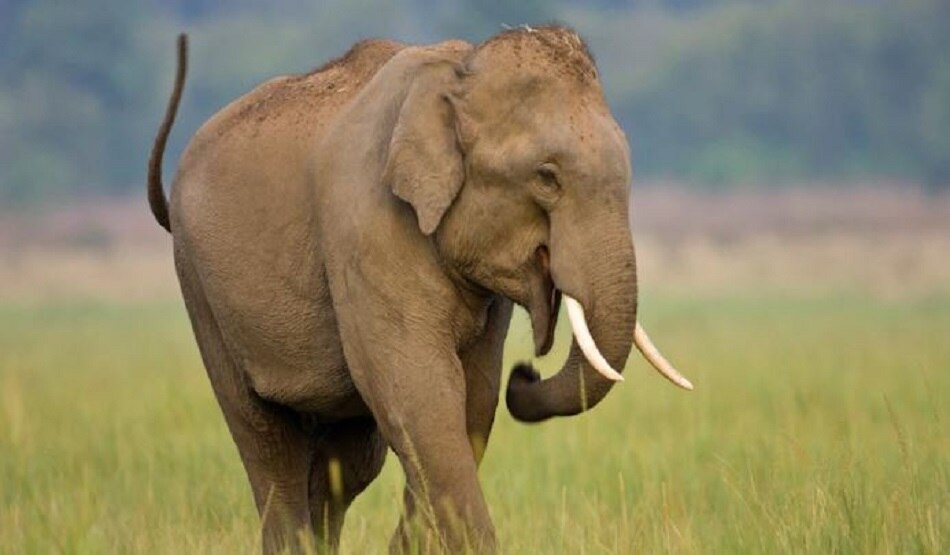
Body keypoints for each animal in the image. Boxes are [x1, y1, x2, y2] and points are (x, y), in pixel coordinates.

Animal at [147, 27, 692, 553]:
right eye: (547, 177)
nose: (526, 374)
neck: (456, 73)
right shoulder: (368, 226)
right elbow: (423, 395)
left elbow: (471, 401)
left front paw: (410, 544)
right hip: (200, 289)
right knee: (266, 441)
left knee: (347, 463)